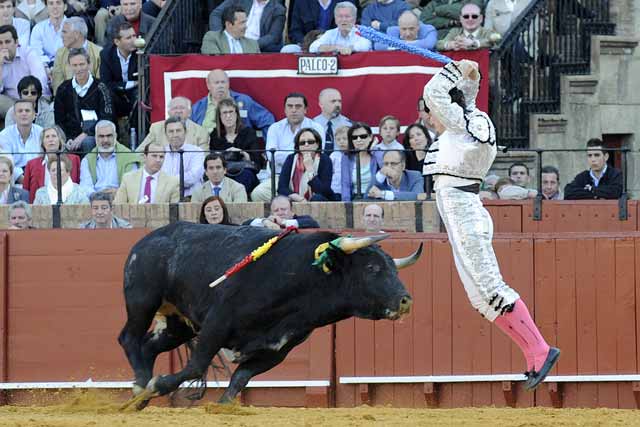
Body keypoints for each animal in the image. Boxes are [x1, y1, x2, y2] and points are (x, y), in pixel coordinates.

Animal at [119, 222, 420, 410]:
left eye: (393, 268)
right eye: (372, 268)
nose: (405, 301)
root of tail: (146, 240)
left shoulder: (277, 350)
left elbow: (240, 378)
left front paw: (222, 407)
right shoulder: (217, 324)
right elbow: (196, 365)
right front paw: (157, 385)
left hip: (179, 323)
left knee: (149, 346)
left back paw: (139, 394)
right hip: (143, 300)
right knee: (129, 338)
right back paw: (141, 388)